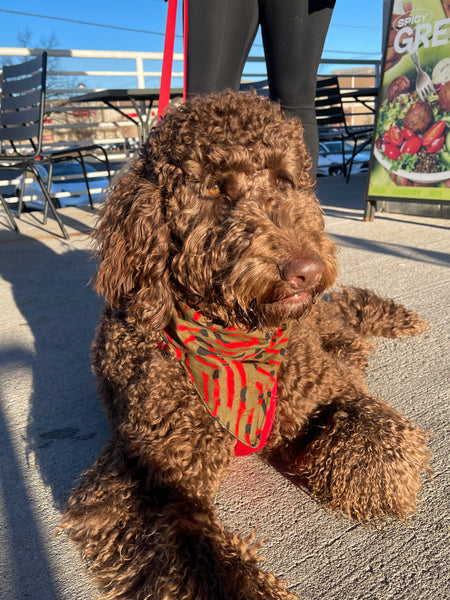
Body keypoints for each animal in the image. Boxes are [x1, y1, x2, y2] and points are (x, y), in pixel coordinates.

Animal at [61, 91, 430, 596]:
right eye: (217, 189)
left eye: (284, 181)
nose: (307, 270)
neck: (235, 339)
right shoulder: (147, 478)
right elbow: (205, 565)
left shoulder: (322, 387)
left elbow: (379, 431)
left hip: (321, 328)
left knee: (346, 326)